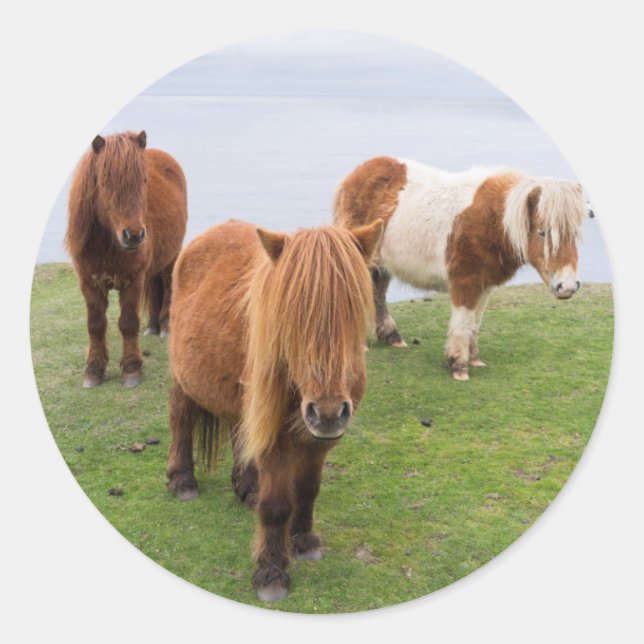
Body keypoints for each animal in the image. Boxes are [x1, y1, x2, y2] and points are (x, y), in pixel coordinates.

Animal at [65, 130, 187, 388]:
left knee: (168, 285)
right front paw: (93, 370)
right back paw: (153, 326)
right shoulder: (89, 283)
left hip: (171, 257)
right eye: (104, 182)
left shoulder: (132, 280)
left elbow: (128, 323)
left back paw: (164, 326)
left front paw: (131, 370)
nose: (134, 235)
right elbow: (95, 325)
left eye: (144, 180)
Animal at [166, 218, 383, 602]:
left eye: (352, 311)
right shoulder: (277, 442)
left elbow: (308, 490)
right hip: (183, 380)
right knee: (181, 421)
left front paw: (304, 541)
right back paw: (182, 480)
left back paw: (247, 488)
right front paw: (271, 572)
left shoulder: (320, 442)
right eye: (292, 318)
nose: (328, 412)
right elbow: (277, 506)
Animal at [333, 156, 591, 381]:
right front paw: (458, 365)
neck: (492, 219)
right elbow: (462, 322)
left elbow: (474, 322)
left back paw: (391, 336)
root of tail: (356, 174)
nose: (567, 287)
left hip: (380, 265)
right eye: (542, 232)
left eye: (574, 234)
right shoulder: (465, 282)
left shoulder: (483, 285)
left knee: (377, 291)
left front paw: (474, 358)